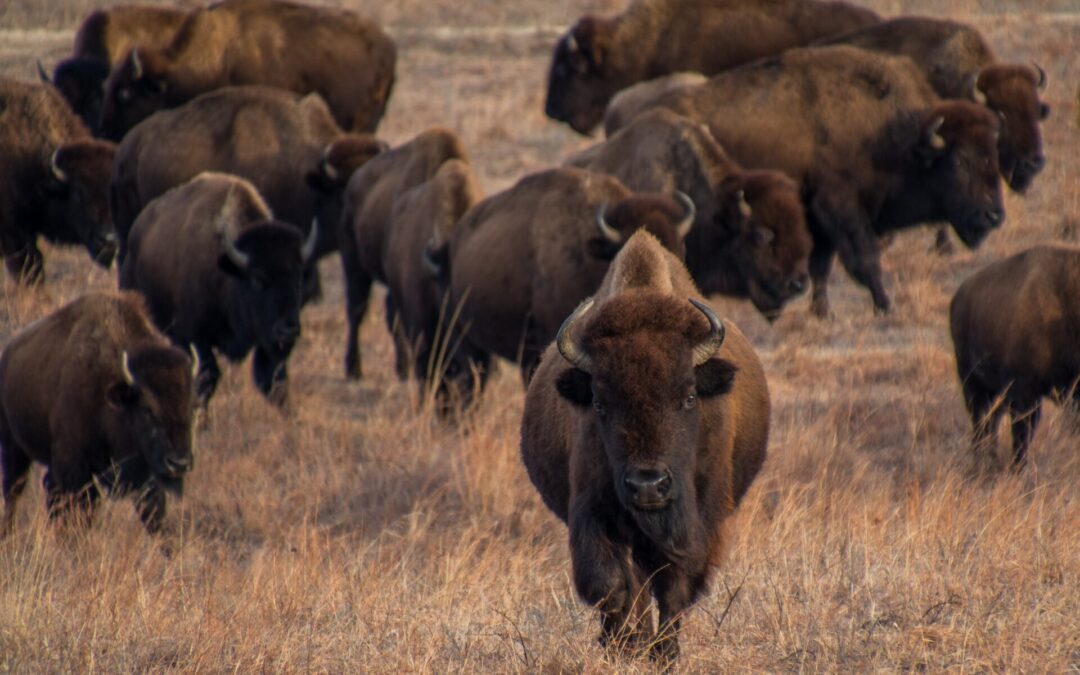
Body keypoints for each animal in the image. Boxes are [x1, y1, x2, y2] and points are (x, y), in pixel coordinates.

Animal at [0, 291, 196, 536]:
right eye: (146, 408)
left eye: (191, 405)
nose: (179, 463)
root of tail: (8, 351)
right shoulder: (75, 466)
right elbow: (81, 509)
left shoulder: (146, 475)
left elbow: (153, 511)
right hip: (14, 447)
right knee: (14, 491)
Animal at [119, 172, 317, 408]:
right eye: (258, 279)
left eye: (298, 278)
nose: (289, 329)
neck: (230, 273)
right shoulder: (194, 336)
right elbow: (207, 377)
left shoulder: (266, 343)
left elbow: (274, 382)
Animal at [521, 230, 769, 661]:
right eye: (599, 402)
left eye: (689, 397)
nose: (648, 486)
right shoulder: (593, 513)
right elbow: (613, 587)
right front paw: (621, 646)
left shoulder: (699, 522)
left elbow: (674, 588)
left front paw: (664, 654)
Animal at [608, 45, 1006, 317]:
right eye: (960, 161)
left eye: (994, 154)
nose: (994, 216)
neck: (891, 134)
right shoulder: (840, 207)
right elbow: (865, 259)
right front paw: (884, 305)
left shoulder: (819, 220)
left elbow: (821, 267)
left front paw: (823, 312)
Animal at [950, 245, 1080, 469]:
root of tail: (959, 296)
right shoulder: (1025, 394)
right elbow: (1022, 434)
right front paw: (1017, 468)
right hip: (972, 384)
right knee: (981, 422)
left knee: (991, 422)